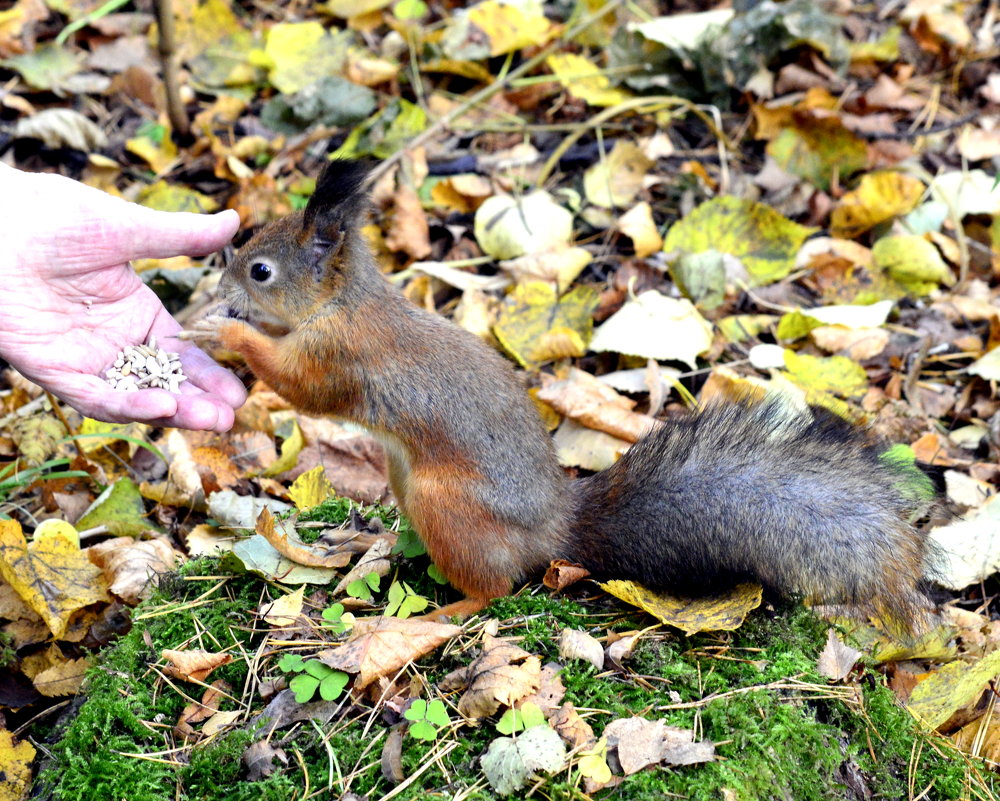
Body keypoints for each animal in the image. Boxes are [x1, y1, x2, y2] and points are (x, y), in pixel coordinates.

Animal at [188, 162, 928, 620]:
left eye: (259, 270)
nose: (219, 289)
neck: (341, 301)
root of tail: (554, 528)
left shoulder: (340, 354)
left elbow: (303, 386)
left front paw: (224, 331)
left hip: (443, 500)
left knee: (495, 587)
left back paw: (445, 611)